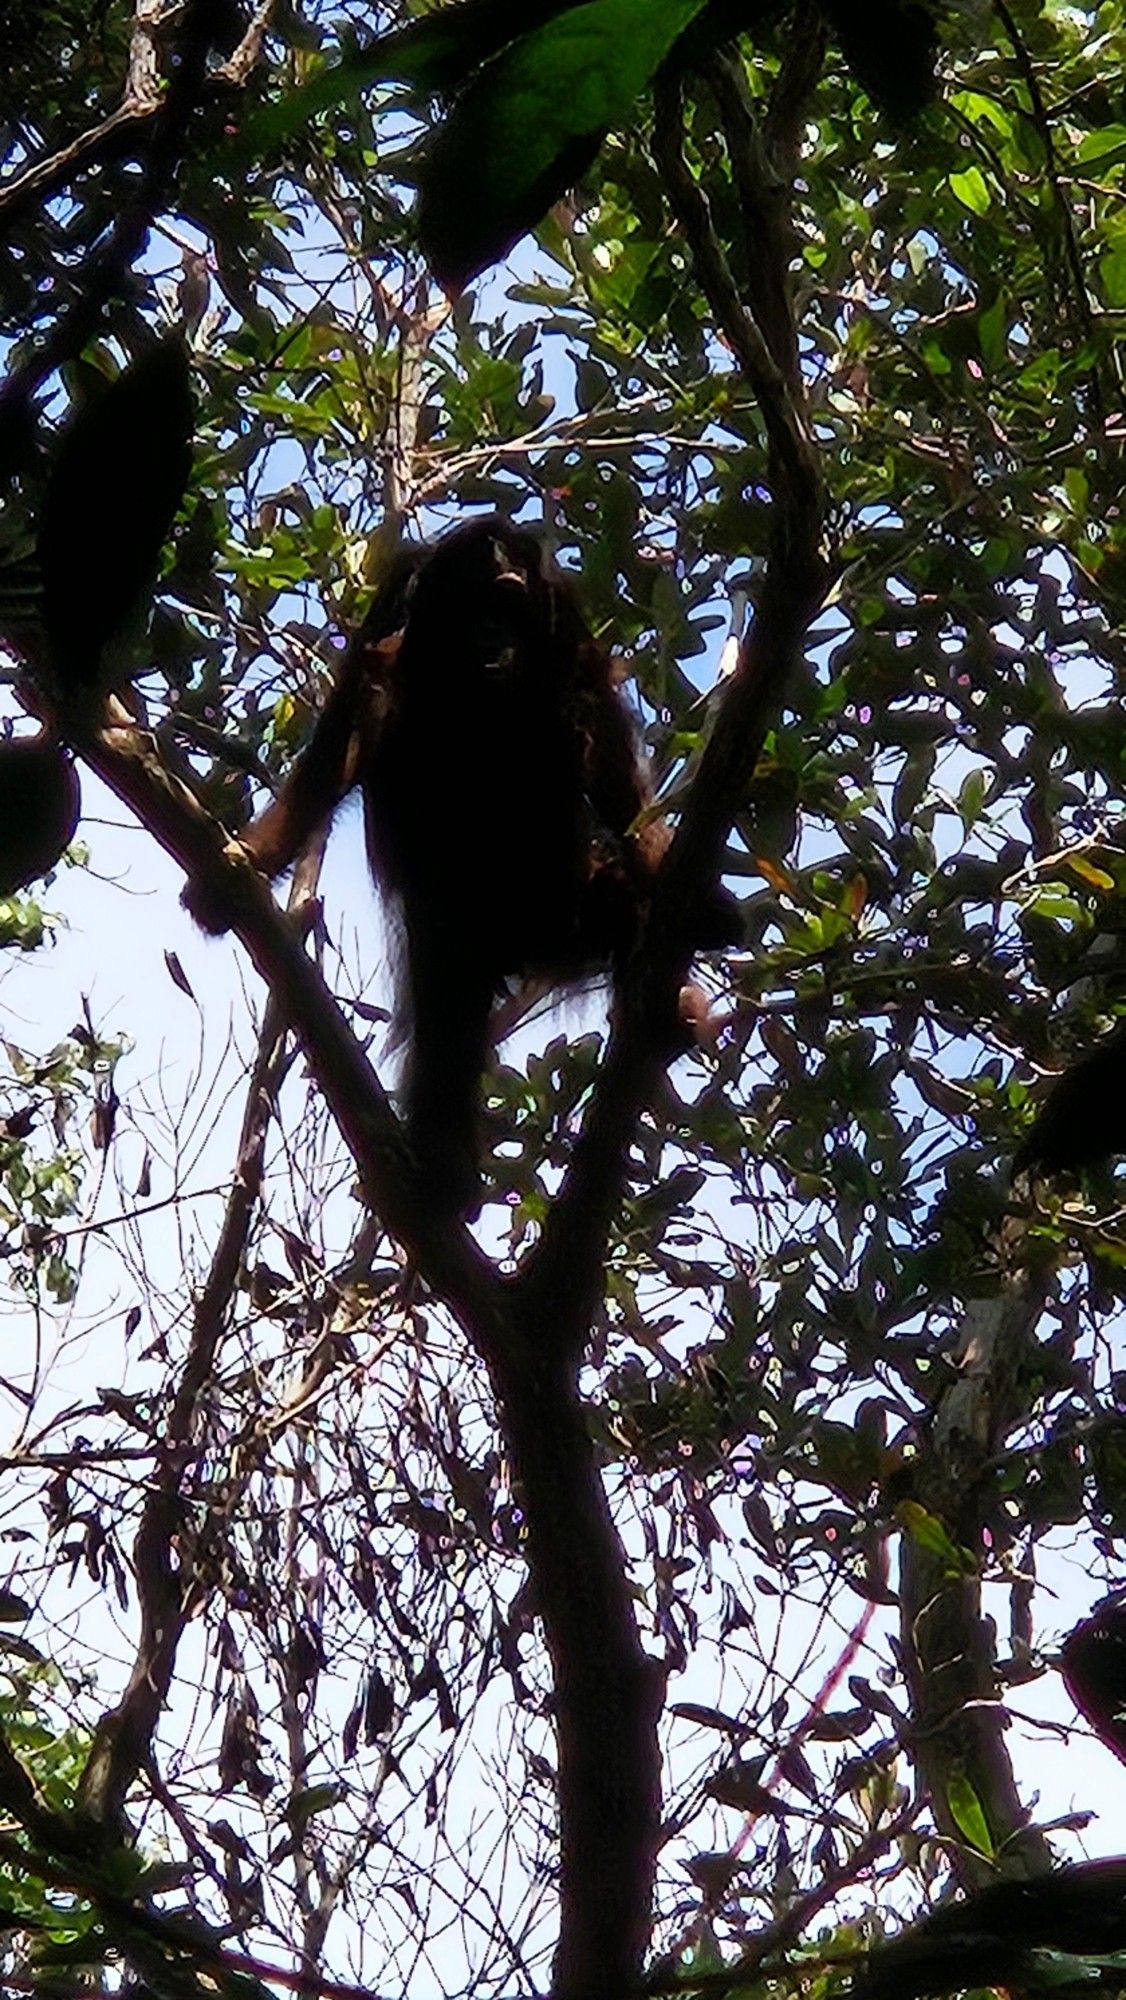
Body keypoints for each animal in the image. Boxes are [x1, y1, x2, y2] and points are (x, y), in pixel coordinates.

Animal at [187, 516, 740, 1208]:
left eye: (508, 604)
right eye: (473, 604)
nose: (492, 639)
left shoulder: (564, 620)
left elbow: (595, 724)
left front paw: (669, 872)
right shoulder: (394, 601)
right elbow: (355, 717)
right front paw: (255, 857)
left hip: (569, 907)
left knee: (617, 896)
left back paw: (666, 1013)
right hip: (457, 929)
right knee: (447, 1006)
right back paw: (443, 1160)